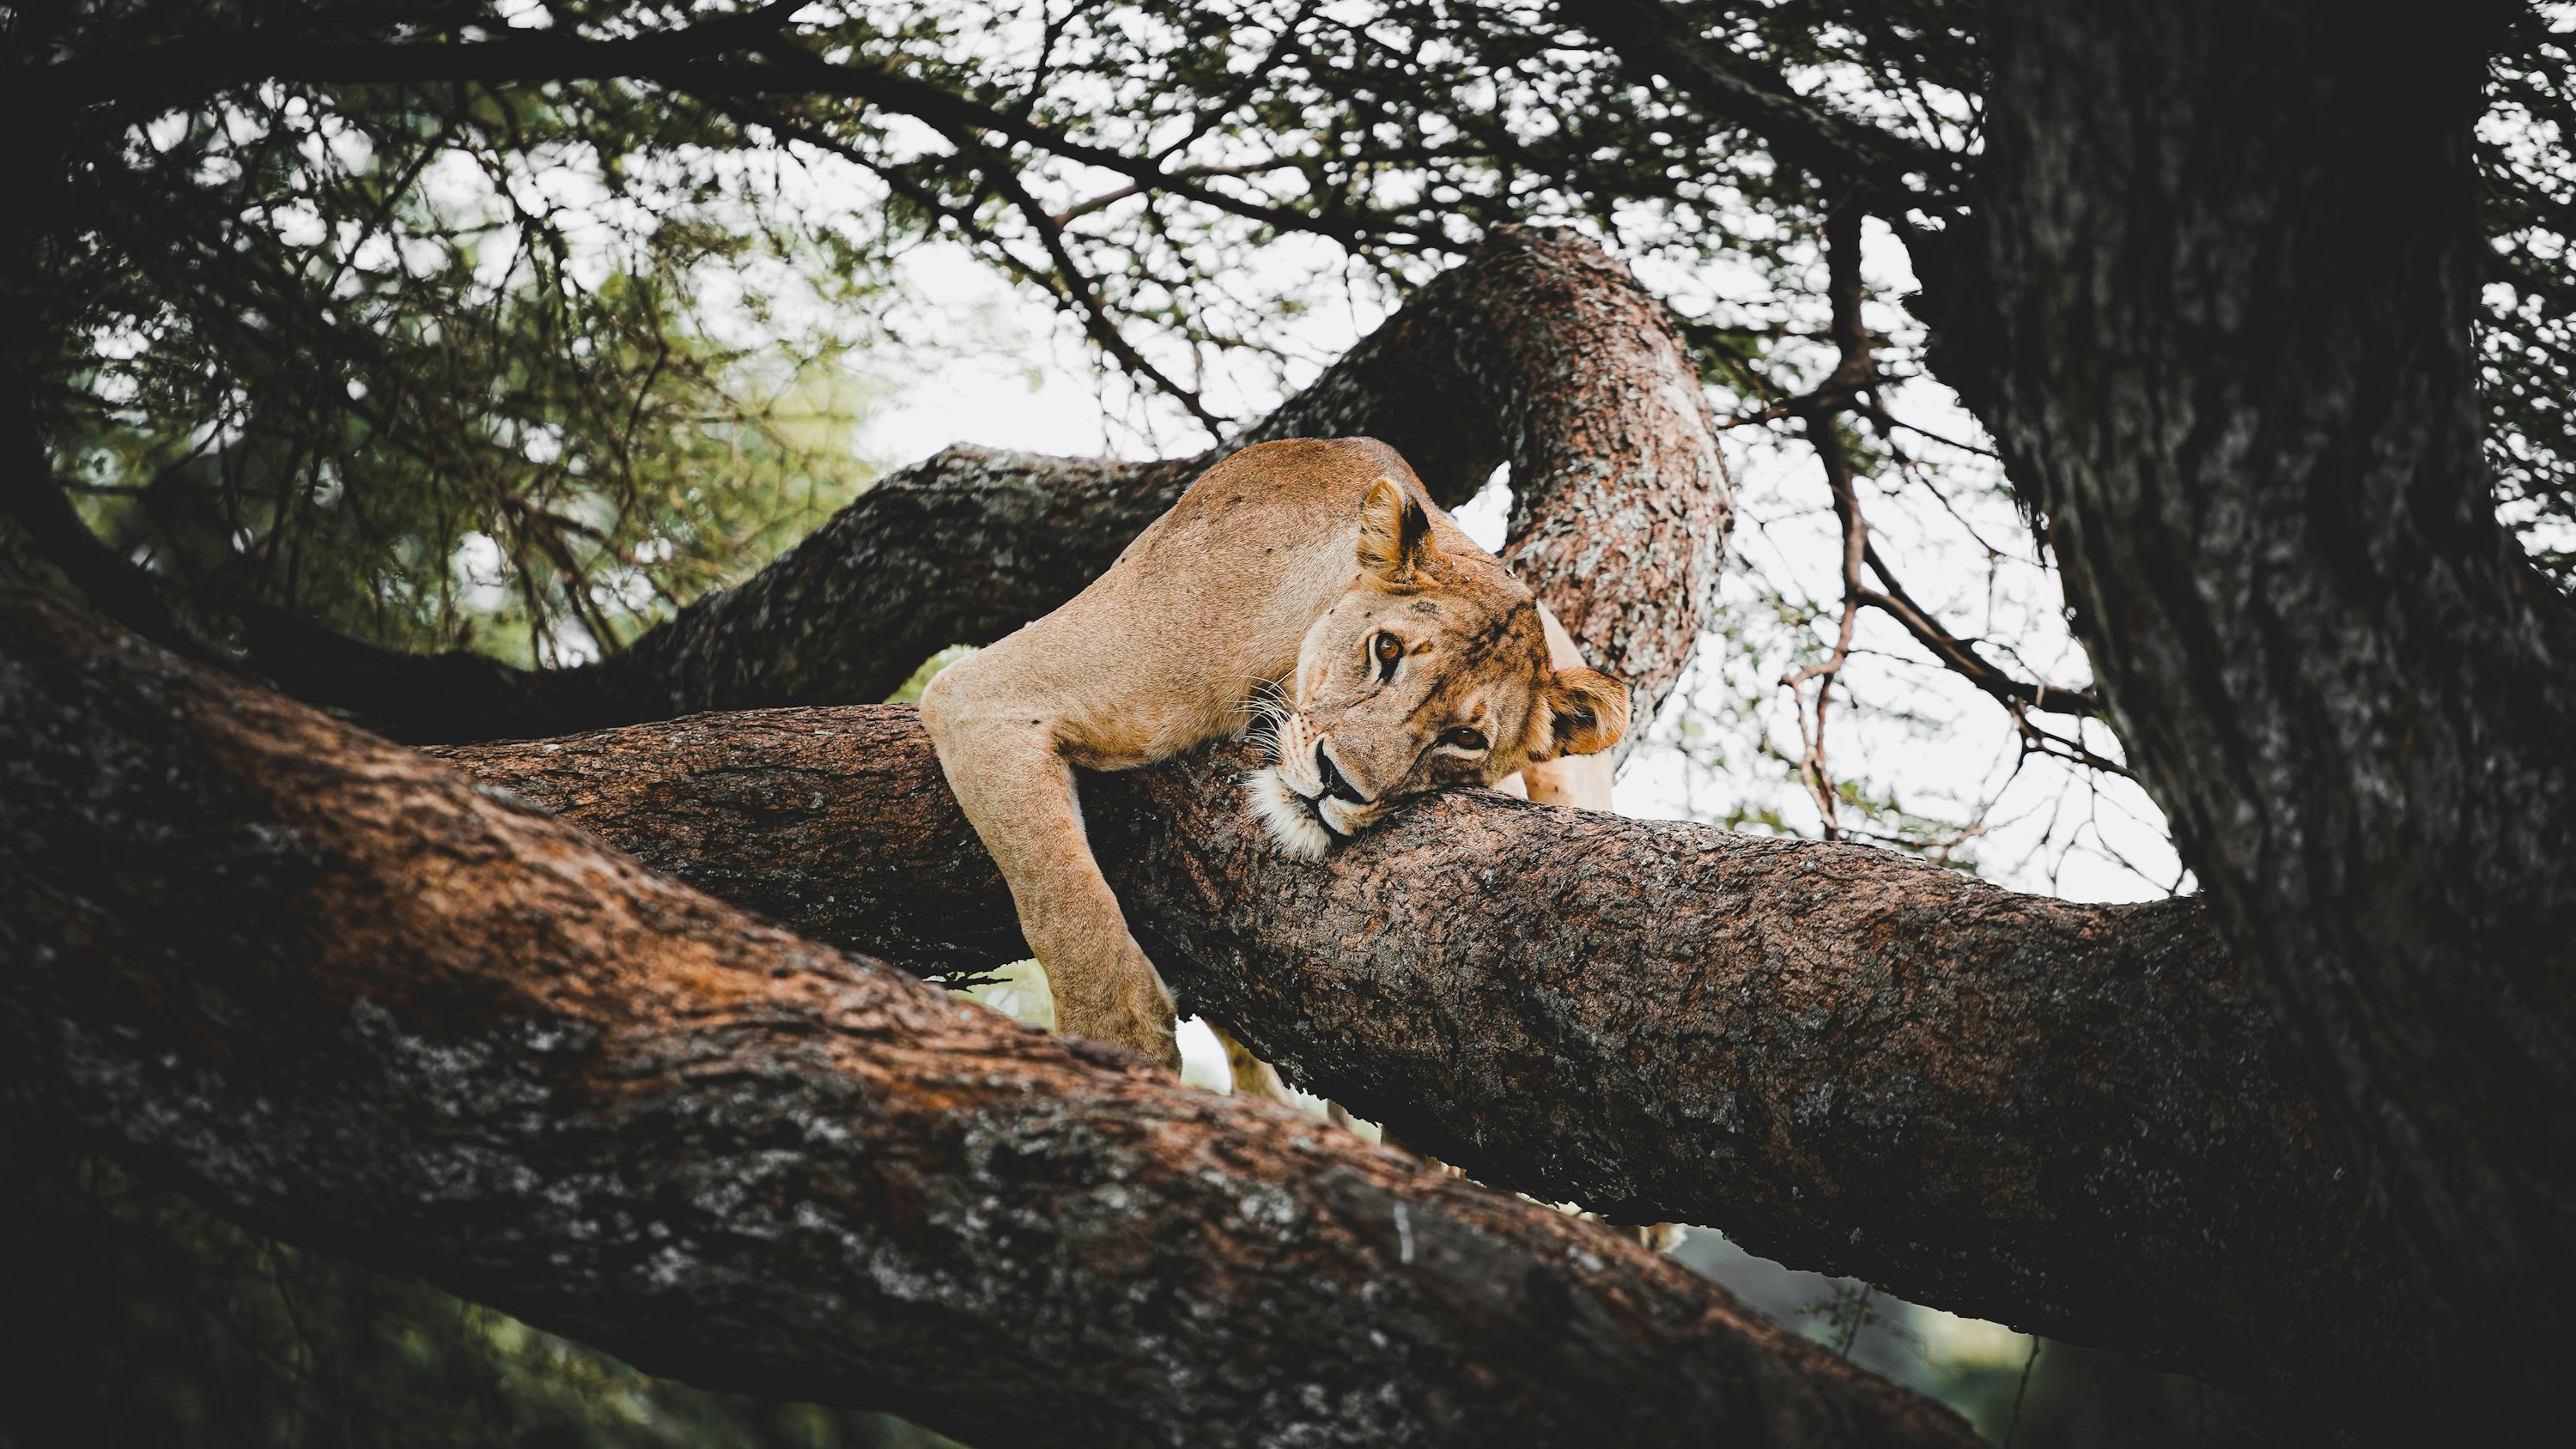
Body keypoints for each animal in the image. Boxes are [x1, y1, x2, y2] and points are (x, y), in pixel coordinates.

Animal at [919, 436, 1629, 1094]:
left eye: (1464, 738)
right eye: (1387, 649)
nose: (1338, 781)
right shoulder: (985, 696)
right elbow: (1060, 893)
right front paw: (1116, 1040)